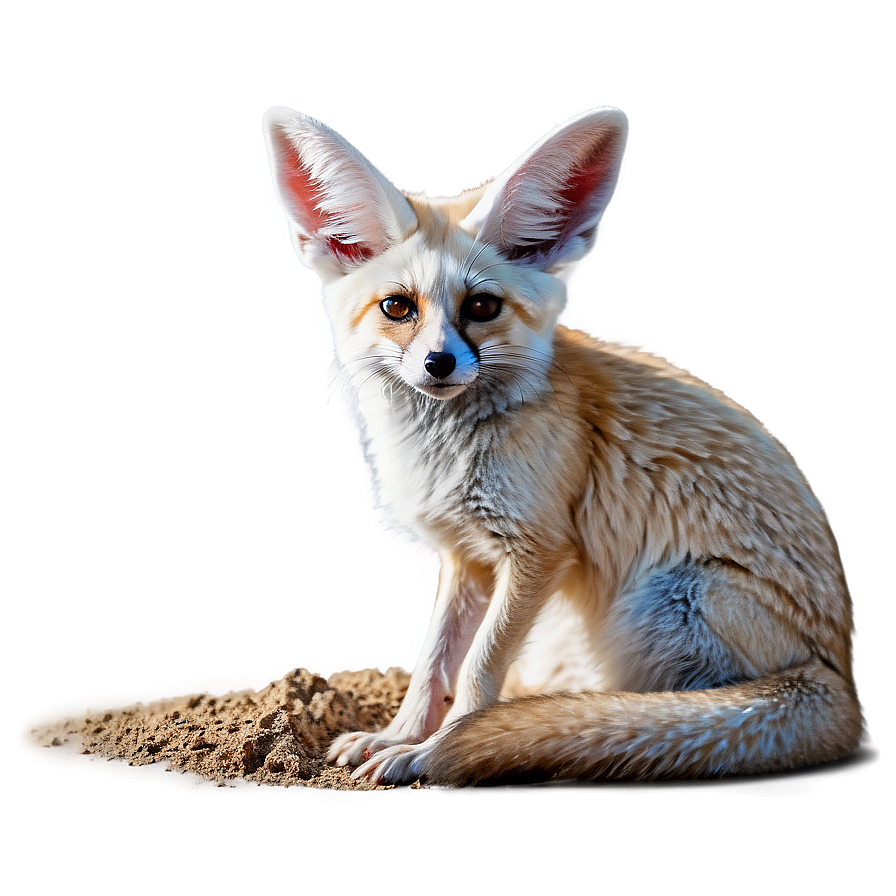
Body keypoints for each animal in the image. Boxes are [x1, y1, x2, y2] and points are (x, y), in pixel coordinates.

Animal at [261, 106, 863, 787]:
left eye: (481, 306)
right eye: (397, 307)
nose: (439, 363)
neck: (446, 456)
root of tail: (839, 675)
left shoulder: (539, 552)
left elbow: (477, 670)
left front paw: (433, 749)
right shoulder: (464, 556)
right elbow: (432, 662)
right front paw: (400, 734)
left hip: (659, 602)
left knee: (680, 711)